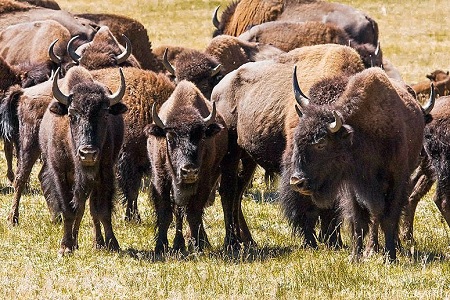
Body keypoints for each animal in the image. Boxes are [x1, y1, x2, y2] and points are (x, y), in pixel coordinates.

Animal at [38, 66, 128, 255]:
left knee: (89, 209)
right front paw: (65, 247)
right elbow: (68, 211)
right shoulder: (61, 175)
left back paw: (97, 243)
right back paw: (75, 243)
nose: (88, 153)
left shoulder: (104, 175)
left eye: (105, 115)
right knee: (78, 208)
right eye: (72, 115)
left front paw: (112, 244)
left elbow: (102, 211)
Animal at [284, 67, 428, 260]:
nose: (297, 182)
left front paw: (390, 257)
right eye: (297, 138)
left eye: (321, 143)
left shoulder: (396, 181)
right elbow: (358, 220)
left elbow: (389, 218)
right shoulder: (353, 185)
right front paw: (355, 257)